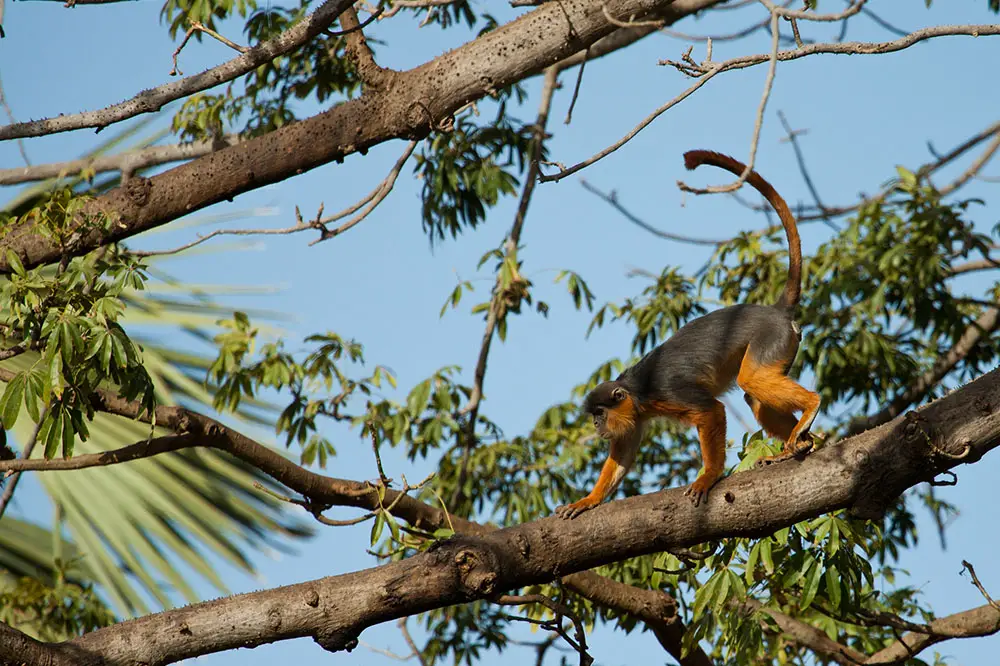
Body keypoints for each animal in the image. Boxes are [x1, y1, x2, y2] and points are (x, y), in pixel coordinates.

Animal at [556, 150, 820, 520]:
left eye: (599, 414)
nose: (595, 426)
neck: (638, 391)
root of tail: (776, 311)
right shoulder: (636, 415)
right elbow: (623, 453)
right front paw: (589, 500)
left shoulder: (668, 391)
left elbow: (711, 410)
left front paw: (709, 475)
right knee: (753, 393)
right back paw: (801, 444)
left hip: (772, 337)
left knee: (751, 380)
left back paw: (812, 406)